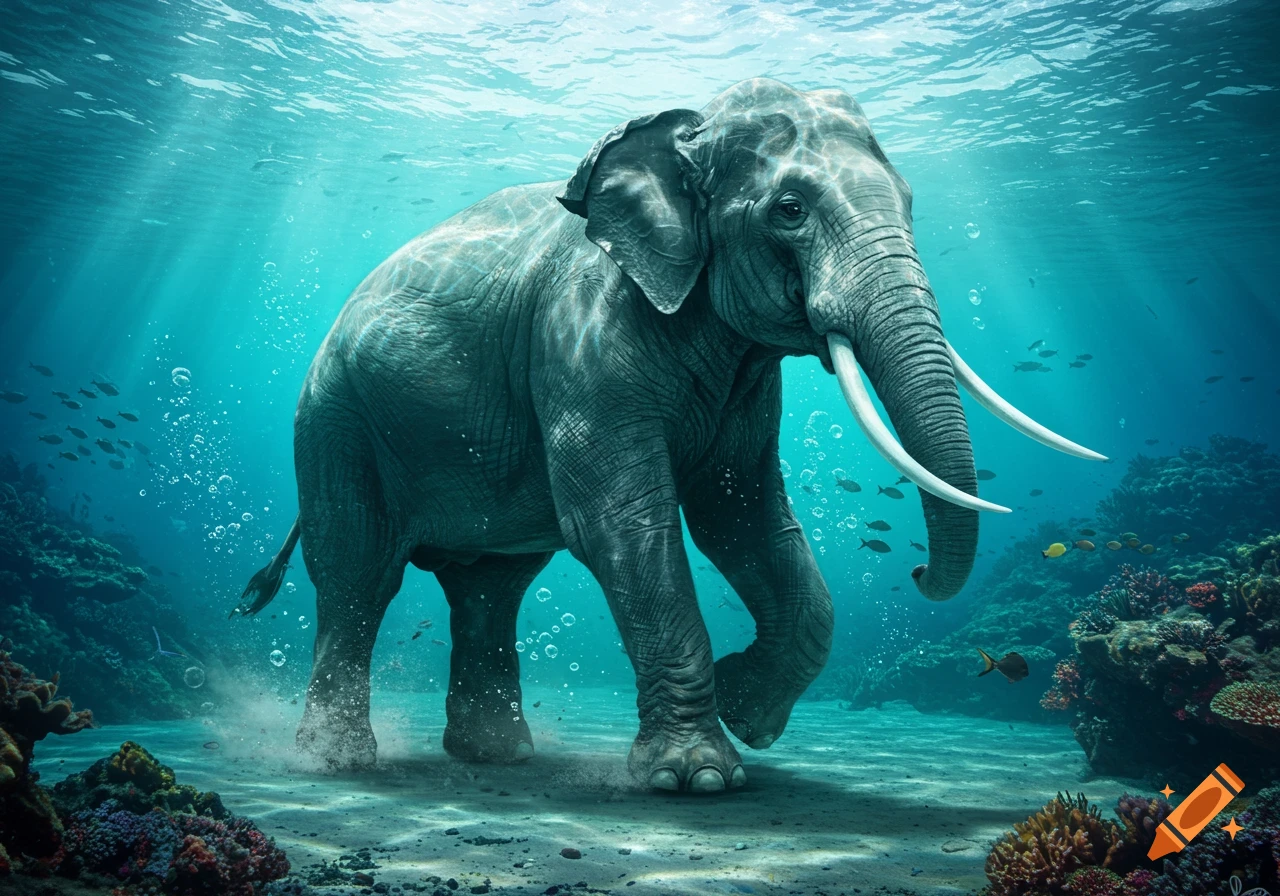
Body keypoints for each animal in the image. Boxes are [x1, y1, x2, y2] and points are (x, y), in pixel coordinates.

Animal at [233, 77, 1104, 793]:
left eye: (912, 201)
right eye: (790, 210)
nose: (920, 571)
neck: (683, 129)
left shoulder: (743, 382)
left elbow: (744, 518)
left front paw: (747, 712)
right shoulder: (579, 338)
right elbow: (622, 523)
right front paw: (697, 777)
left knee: (490, 590)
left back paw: (497, 756)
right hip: (335, 422)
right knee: (357, 576)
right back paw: (337, 762)